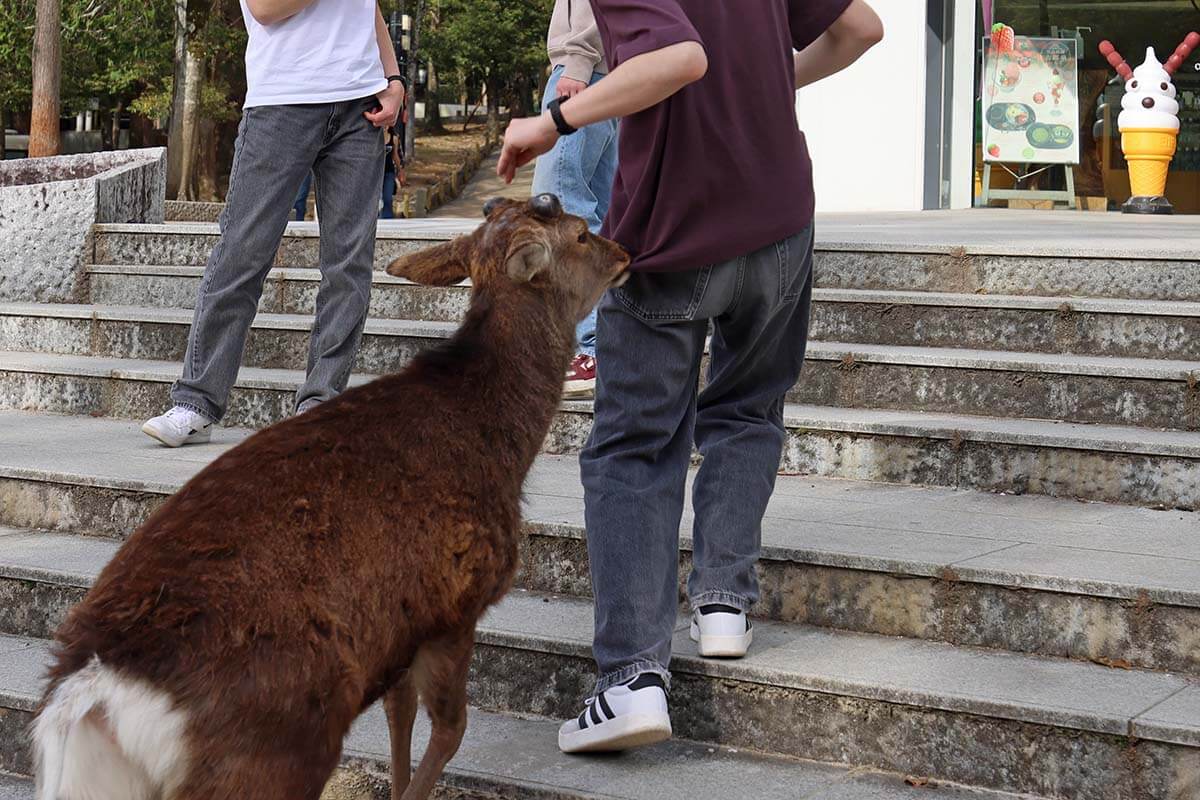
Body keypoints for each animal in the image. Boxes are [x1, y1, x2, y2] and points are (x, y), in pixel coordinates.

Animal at [32, 194, 630, 800]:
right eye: (582, 234)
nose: (624, 252)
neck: (504, 446)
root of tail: (94, 692)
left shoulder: (400, 624)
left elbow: (398, 718)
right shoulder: (458, 600)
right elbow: (449, 732)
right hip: (277, 746)